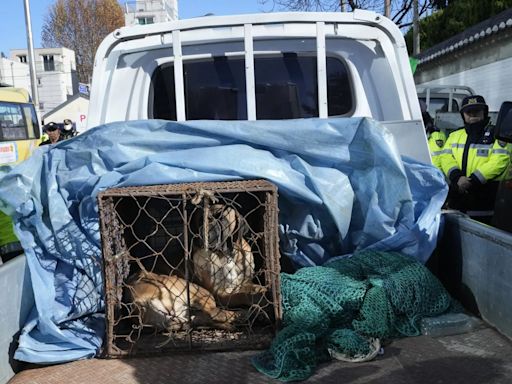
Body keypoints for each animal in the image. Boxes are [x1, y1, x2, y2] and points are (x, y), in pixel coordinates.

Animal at [98, 182, 282, 356]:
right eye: (200, 219)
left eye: (220, 217)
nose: (204, 230)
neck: (227, 255)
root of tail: (134, 303)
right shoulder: (221, 294)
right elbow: (246, 295)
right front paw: (262, 301)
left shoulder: (243, 282)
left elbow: (256, 288)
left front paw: (267, 293)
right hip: (194, 289)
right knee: (216, 312)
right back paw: (246, 315)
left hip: (185, 311)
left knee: (206, 317)